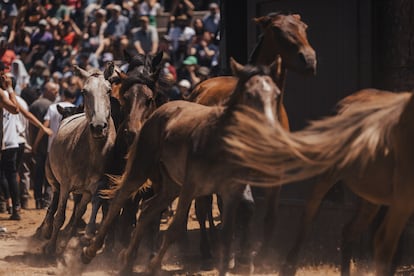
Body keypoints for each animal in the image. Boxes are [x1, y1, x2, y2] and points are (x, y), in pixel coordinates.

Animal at [80, 57, 282, 274]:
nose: (269, 129)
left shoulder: (230, 192)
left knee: (147, 210)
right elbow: (174, 228)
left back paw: (127, 259)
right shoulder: (191, 187)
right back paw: (91, 252)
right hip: (141, 170)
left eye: (277, 94)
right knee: (119, 199)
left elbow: (227, 234)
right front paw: (152, 265)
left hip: (170, 185)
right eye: (249, 94)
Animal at [225, 89, 414, 276]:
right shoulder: (401, 202)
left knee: (350, 231)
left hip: (370, 198)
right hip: (328, 175)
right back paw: (288, 266)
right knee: (309, 214)